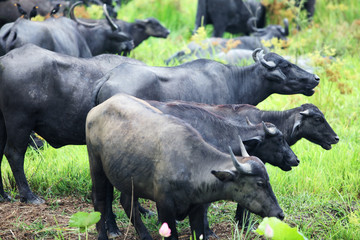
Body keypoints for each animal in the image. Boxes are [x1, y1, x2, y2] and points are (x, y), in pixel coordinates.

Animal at [86, 93, 284, 240]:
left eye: (268, 180)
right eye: (260, 183)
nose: (280, 214)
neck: (191, 165)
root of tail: (98, 108)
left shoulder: (196, 208)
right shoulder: (165, 208)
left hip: (128, 177)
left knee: (128, 204)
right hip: (96, 165)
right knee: (100, 200)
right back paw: (104, 234)